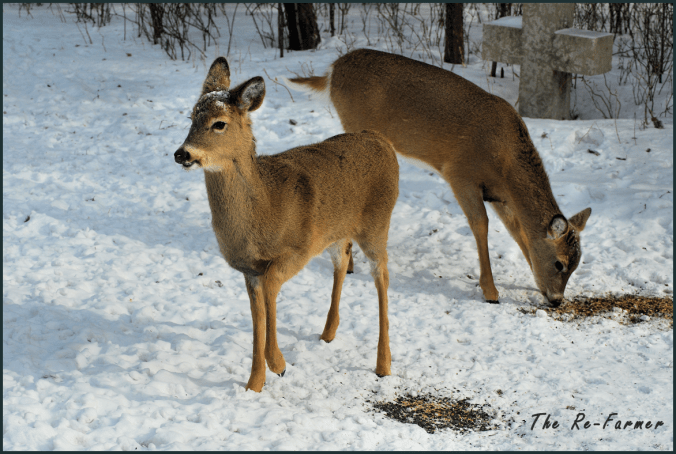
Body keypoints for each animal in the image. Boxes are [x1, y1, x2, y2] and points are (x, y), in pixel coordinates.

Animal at [173, 57, 399, 392]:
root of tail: (381, 139)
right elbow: (257, 318)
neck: (263, 210)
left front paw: (278, 364)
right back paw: (328, 333)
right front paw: (254, 385)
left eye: (219, 123)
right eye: (191, 117)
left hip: (376, 224)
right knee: (343, 260)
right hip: (336, 231)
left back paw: (383, 364)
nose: (182, 153)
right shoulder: (249, 269)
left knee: (381, 274)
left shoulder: (297, 250)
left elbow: (270, 293)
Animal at [284, 48, 592, 307]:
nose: (557, 300)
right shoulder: (460, 174)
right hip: (354, 124)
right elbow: (480, 225)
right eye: (560, 263)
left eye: (577, 265)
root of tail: (333, 70)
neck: (505, 160)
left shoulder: (500, 196)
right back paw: (348, 265)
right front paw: (490, 291)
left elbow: (517, 231)